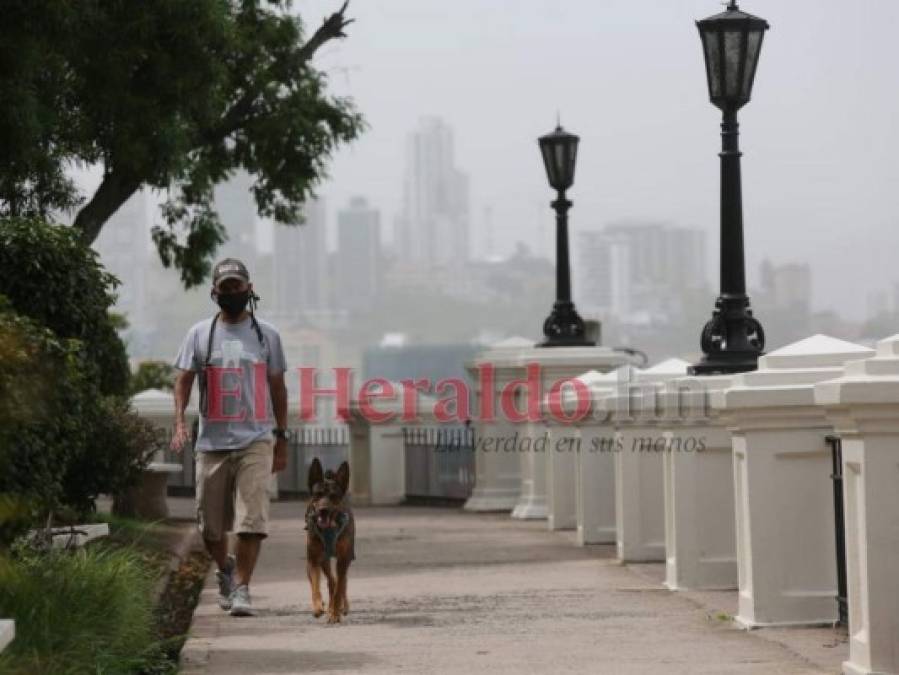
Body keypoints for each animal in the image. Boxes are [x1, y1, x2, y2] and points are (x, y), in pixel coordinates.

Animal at [306, 460, 356, 624]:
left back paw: (342, 606)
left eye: (333, 496)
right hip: (324, 560)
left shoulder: (343, 559)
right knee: (331, 580)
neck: (329, 529)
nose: (323, 510)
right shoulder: (314, 559)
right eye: (318, 494)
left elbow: (339, 588)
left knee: (341, 582)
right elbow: (316, 585)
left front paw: (334, 613)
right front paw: (318, 606)